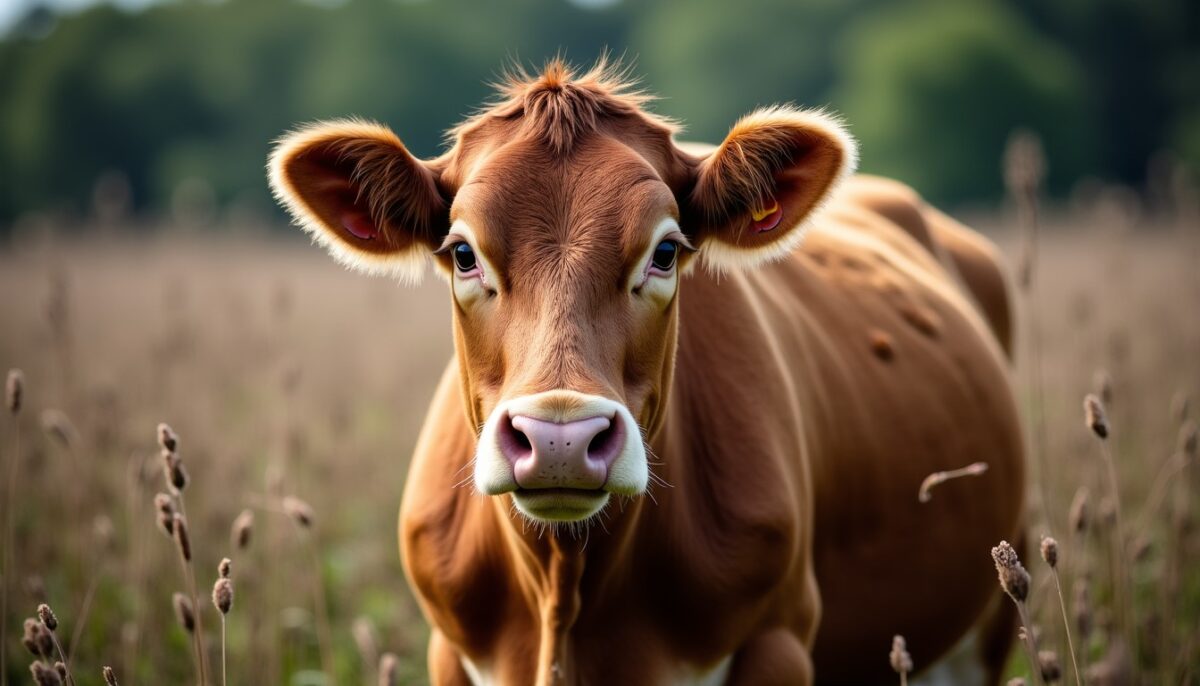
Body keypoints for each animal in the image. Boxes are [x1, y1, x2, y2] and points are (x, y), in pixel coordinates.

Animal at [268, 59, 1025, 685]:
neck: (567, 597)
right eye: (461, 253)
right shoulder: (450, 653)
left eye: (665, 251)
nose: (560, 439)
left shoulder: (777, 639)